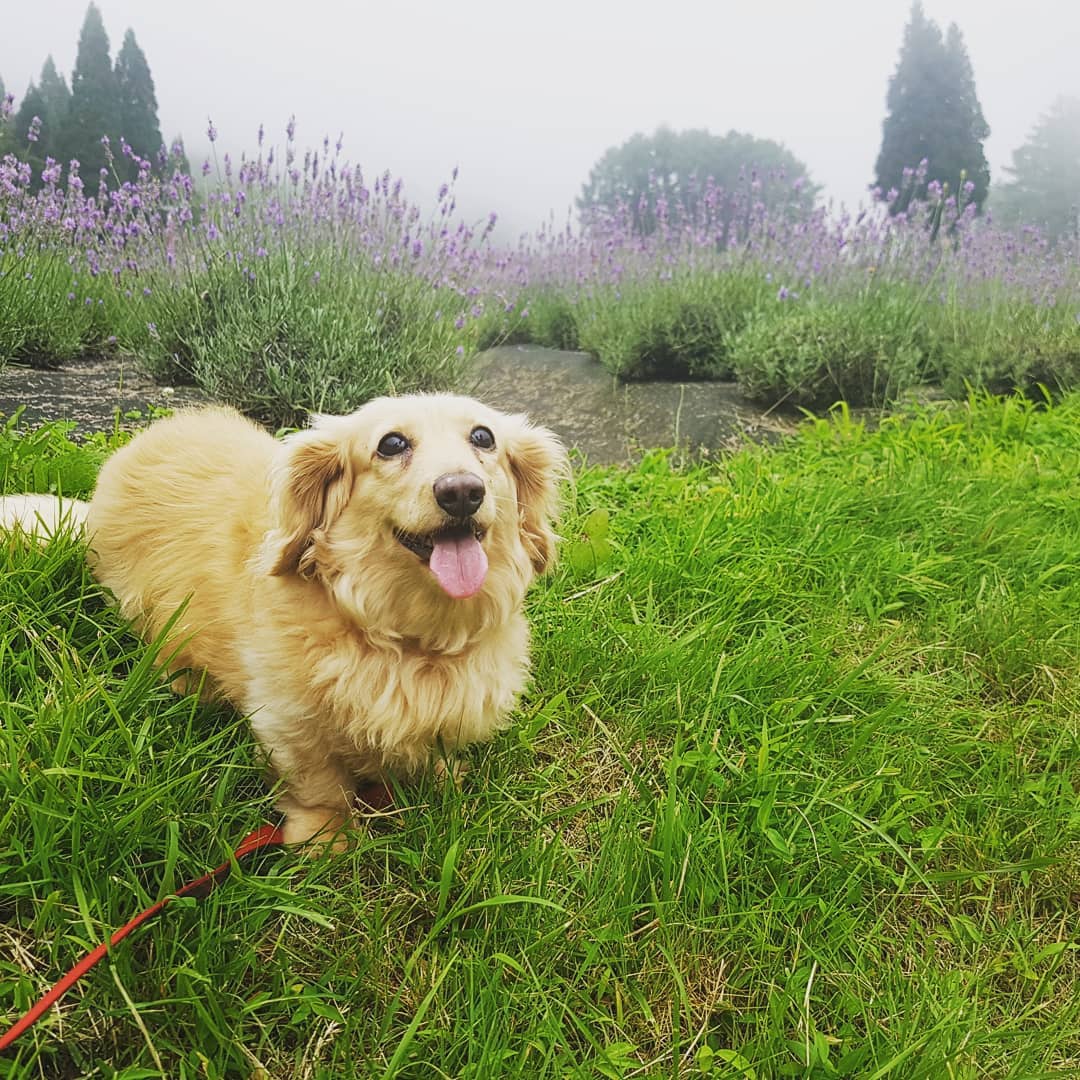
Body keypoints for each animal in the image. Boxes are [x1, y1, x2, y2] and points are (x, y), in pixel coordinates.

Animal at [0, 397, 570, 842]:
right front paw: (327, 838)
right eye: (390, 444)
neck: (404, 637)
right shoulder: (288, 721)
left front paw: (446, 785)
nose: (461, 491)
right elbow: (320, 783)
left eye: (483, 437)